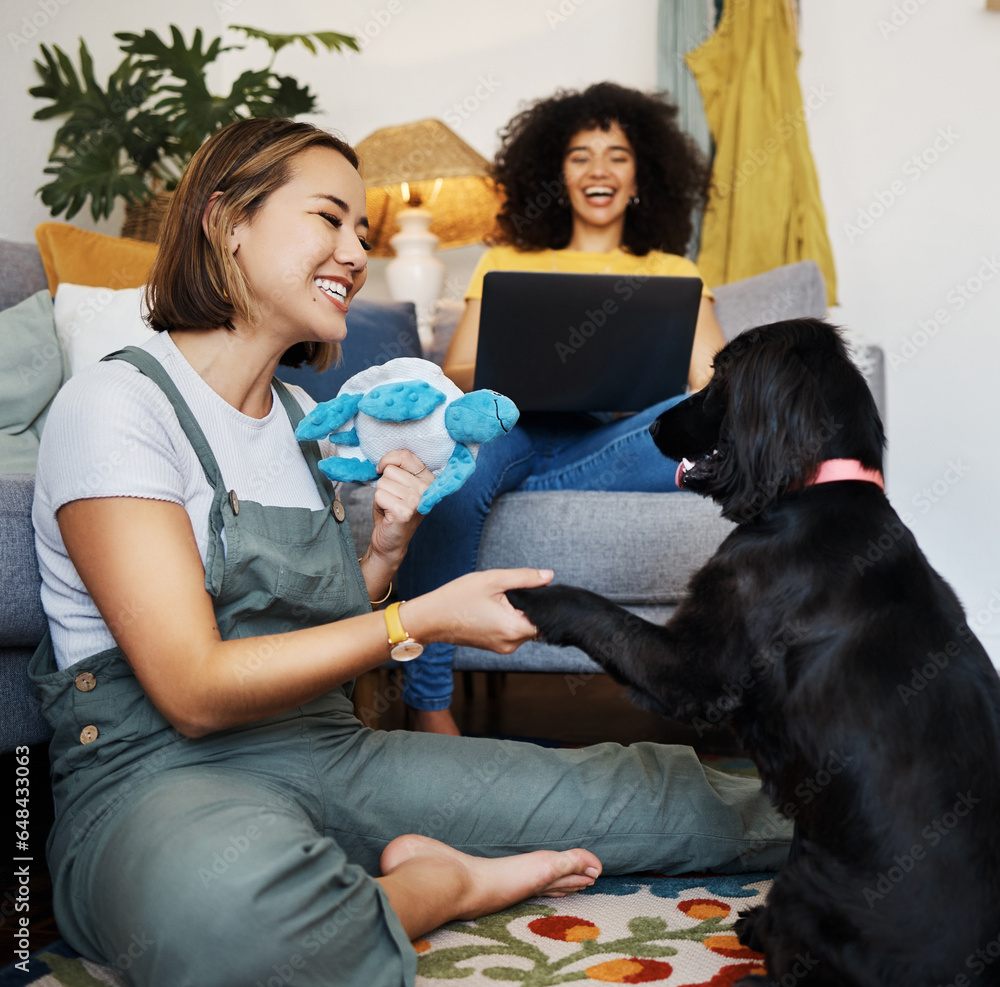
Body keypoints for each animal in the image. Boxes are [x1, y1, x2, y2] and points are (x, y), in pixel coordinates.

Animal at [512, 320, 1000, 984]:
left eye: (720, 376)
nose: (654, 427)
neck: (815, 492)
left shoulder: (694, 671)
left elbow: (600, 613)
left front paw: (528, 595)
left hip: (806, 883)